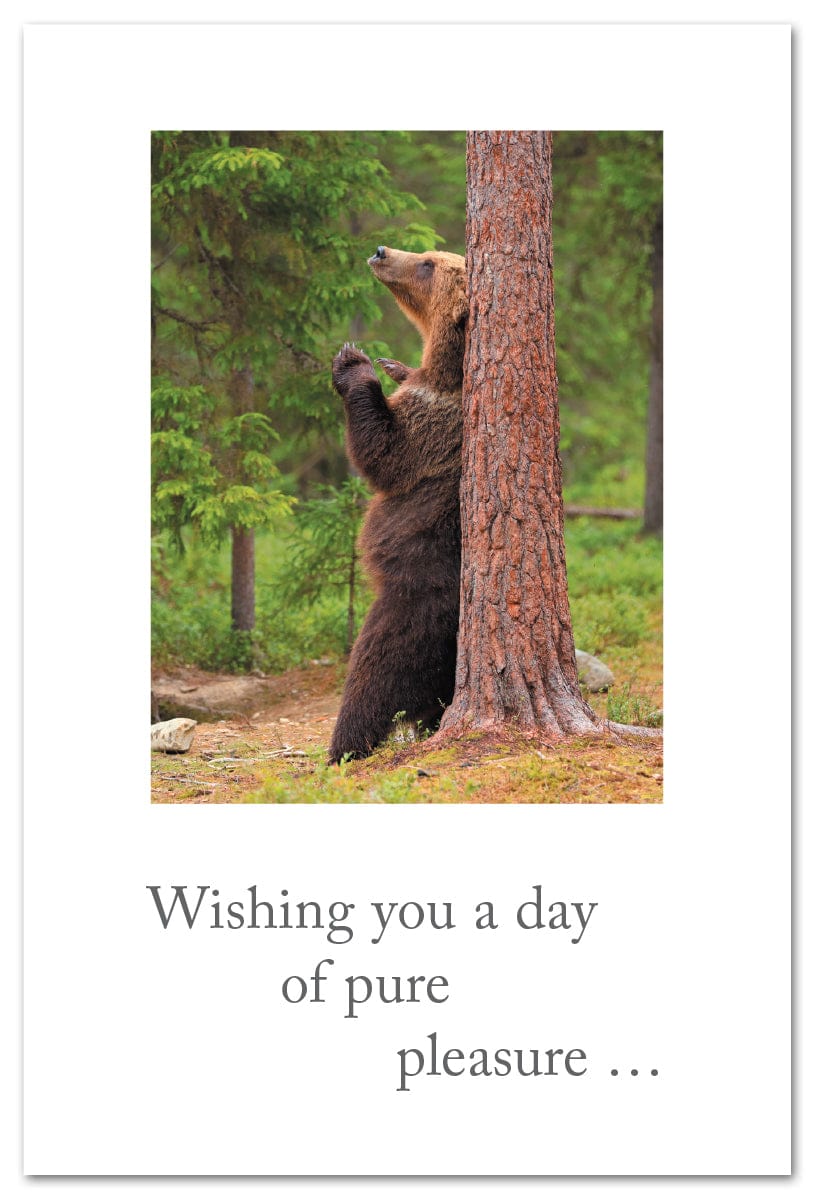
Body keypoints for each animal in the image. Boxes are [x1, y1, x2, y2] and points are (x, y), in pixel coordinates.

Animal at [327, 245, 467, 764]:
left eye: (428, 263)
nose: (381, 250)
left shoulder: (436, 422)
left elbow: (385, 453)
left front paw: (354, 360)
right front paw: (391, 363)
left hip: (408, 616)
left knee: (369, 684)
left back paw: (342, 750)